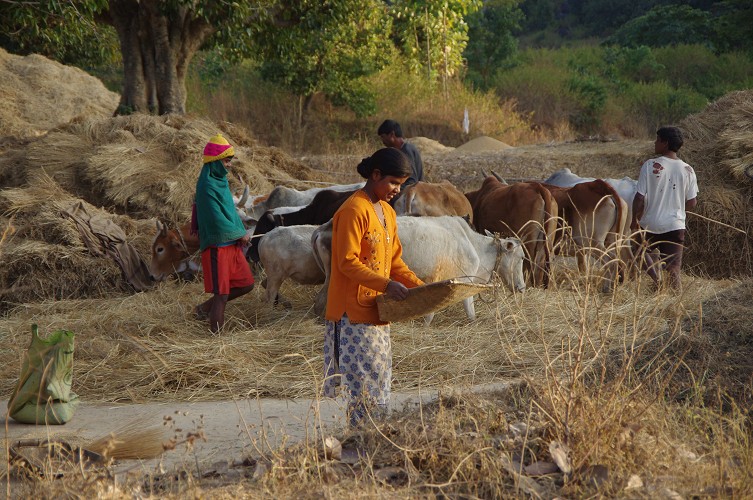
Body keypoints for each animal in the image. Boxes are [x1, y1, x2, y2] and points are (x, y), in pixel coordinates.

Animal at [310, 215, 524, 324]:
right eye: (521, 258)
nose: (522, 288)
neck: (474, 245)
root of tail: (325, 227)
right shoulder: (458, 280)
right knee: (322, 301)